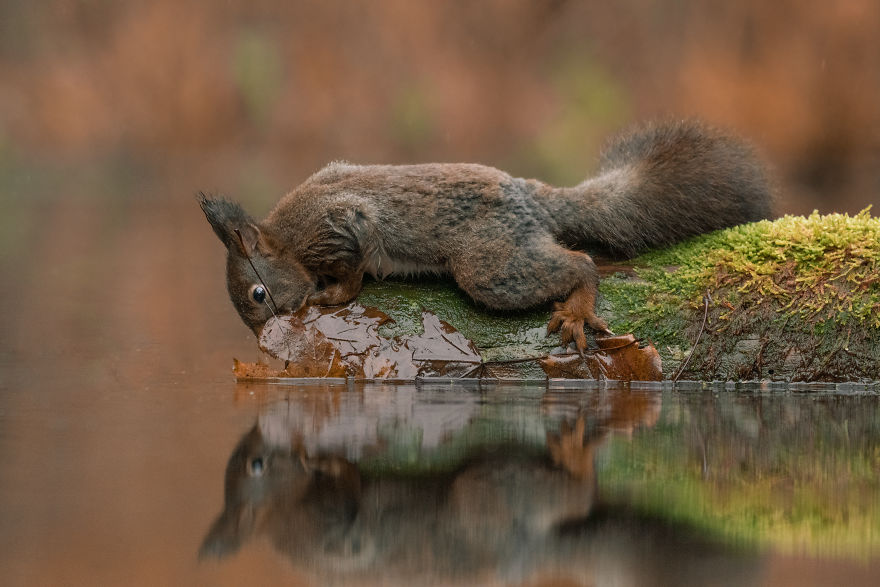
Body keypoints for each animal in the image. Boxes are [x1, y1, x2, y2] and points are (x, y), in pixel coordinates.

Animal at [199, 120, 773, 352]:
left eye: (258, 293)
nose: (265, 341)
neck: (287, 240)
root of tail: (532, 197)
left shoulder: (337, 226)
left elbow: (353, 269)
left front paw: (331, 294)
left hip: (489, 265)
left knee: (579, 263)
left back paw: (578, 307)